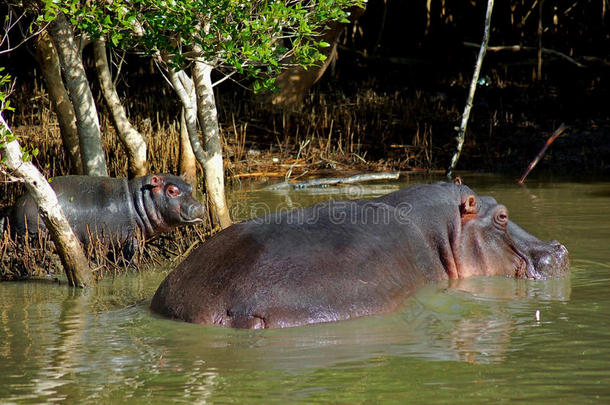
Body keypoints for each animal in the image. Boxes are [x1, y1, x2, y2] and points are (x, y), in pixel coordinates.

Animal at [0, 174, 204, 258]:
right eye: (172, 190)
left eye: (190, 187)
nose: (200, 206)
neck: (138, 200)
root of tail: (12, 207)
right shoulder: (130, 236)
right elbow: (133, 253)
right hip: (35, 228)